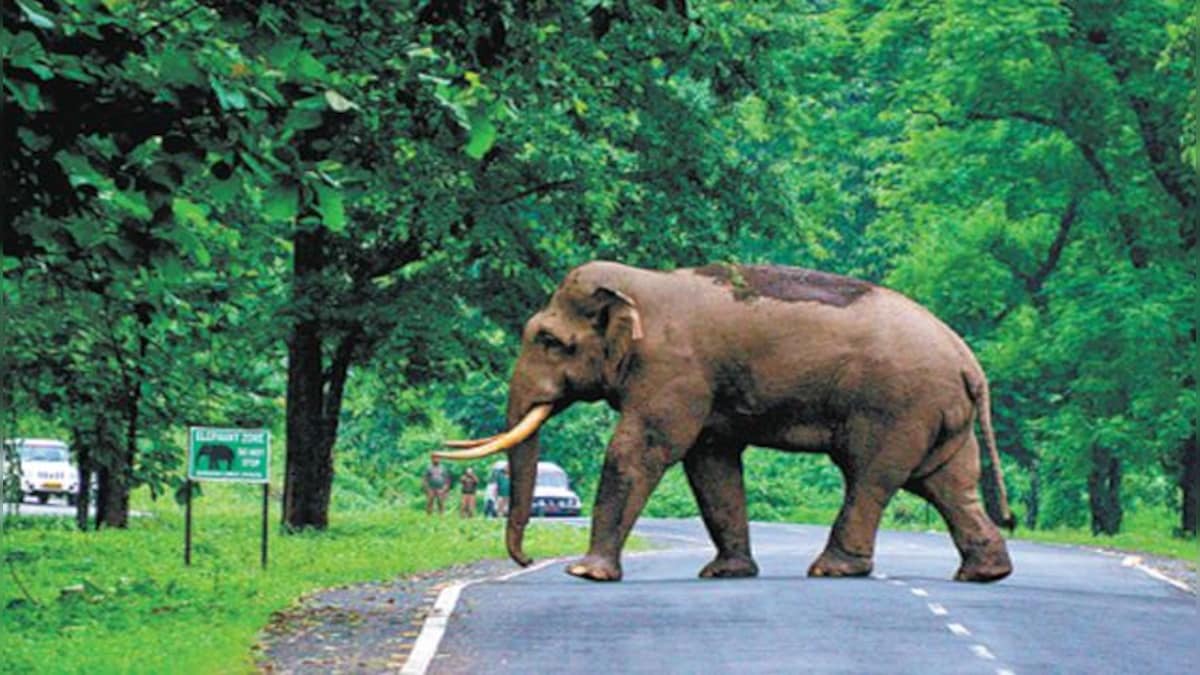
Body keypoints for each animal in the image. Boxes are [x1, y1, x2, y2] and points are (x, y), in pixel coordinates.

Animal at [436, 260, 1017, 581]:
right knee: (946, 483)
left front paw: (586, 572)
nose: (525, 559)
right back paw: (984, 574)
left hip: (897, 407)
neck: (641, 284)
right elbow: (710, 464)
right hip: (939, 413)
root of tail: (968, 361)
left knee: (871, 476)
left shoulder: (673, 370)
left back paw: (832, 569)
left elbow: (641, 449)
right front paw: (725, 573)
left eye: (550, 341)